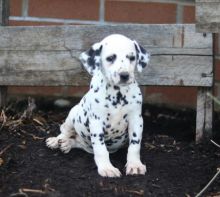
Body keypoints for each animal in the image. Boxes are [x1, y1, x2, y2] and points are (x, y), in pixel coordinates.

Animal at [46, 34, 150, 178]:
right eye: (110, 58)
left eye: (132, 57)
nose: (124, 75)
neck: (117, 94)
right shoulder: (96, 121)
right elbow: (101, 148)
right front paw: (107, 168)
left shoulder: (136, 120)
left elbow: (134, 145)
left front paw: (134, 165)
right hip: (73, 115)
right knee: (65, 131)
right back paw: (57, 140)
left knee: (77, 142)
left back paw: (67, 144)